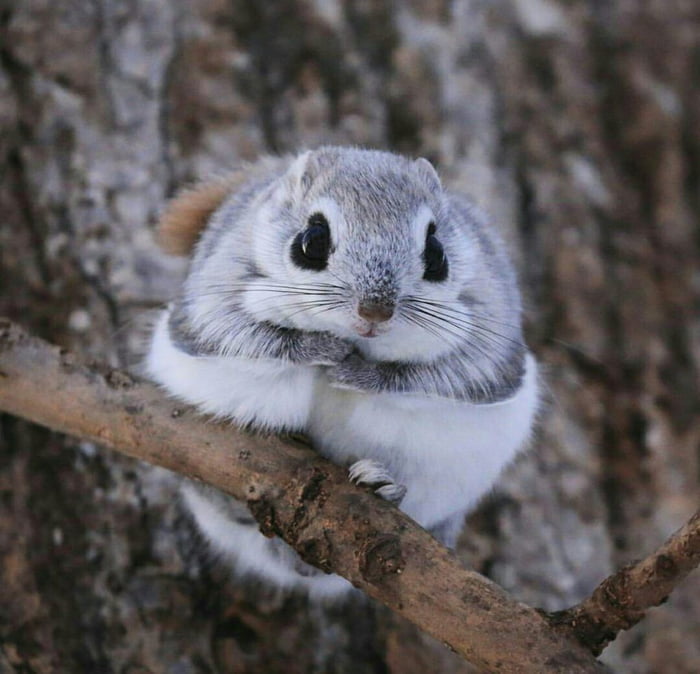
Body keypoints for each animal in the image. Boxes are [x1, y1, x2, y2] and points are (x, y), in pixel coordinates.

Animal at [146, 146, 540, 592]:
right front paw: (322, 348)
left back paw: (382, 485)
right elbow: (247, 336)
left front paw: (356, 373)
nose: (375, 311)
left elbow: (437, 376)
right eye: (312, 242)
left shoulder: (489, 332)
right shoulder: (217, 288)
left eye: (438, 253)